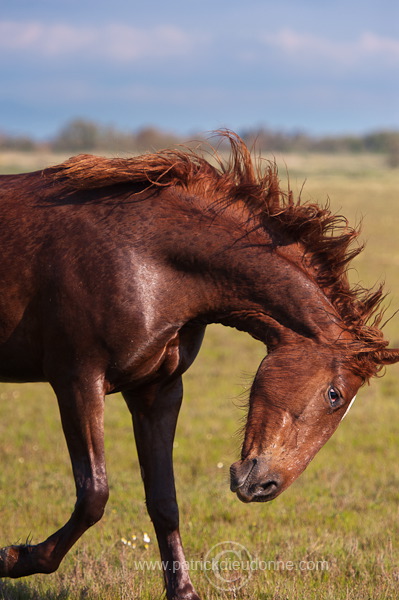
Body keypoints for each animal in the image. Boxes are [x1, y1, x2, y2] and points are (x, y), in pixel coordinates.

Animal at [0, 132, 398, 600]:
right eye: (334, 395)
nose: (265, 487)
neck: (144, 254)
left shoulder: (157, 391)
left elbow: (163, 500)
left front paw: (184, 591)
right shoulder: (77, 381)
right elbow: (94, 493)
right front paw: (13, 558)